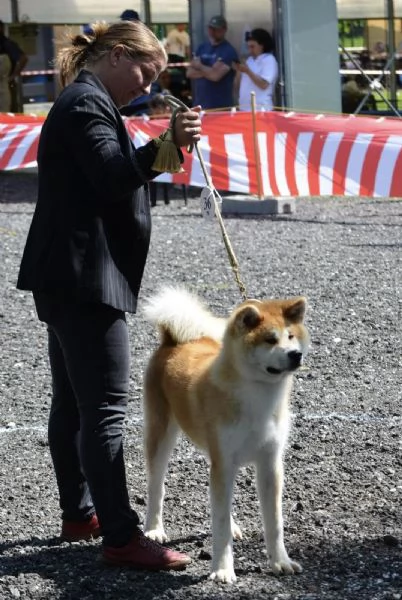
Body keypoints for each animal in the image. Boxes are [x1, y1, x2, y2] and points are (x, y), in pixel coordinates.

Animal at [143, 288, 310, 584]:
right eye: (270, 339)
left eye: (291, 336)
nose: (296, 355)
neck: (259, 397)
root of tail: (172, 341)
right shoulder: (224, 462)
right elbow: (219, 522)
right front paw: (222, 569)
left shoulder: (269, 464)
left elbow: (274, 523)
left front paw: (280, 562)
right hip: (161, 434)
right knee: (156, 486)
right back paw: (154, 529)